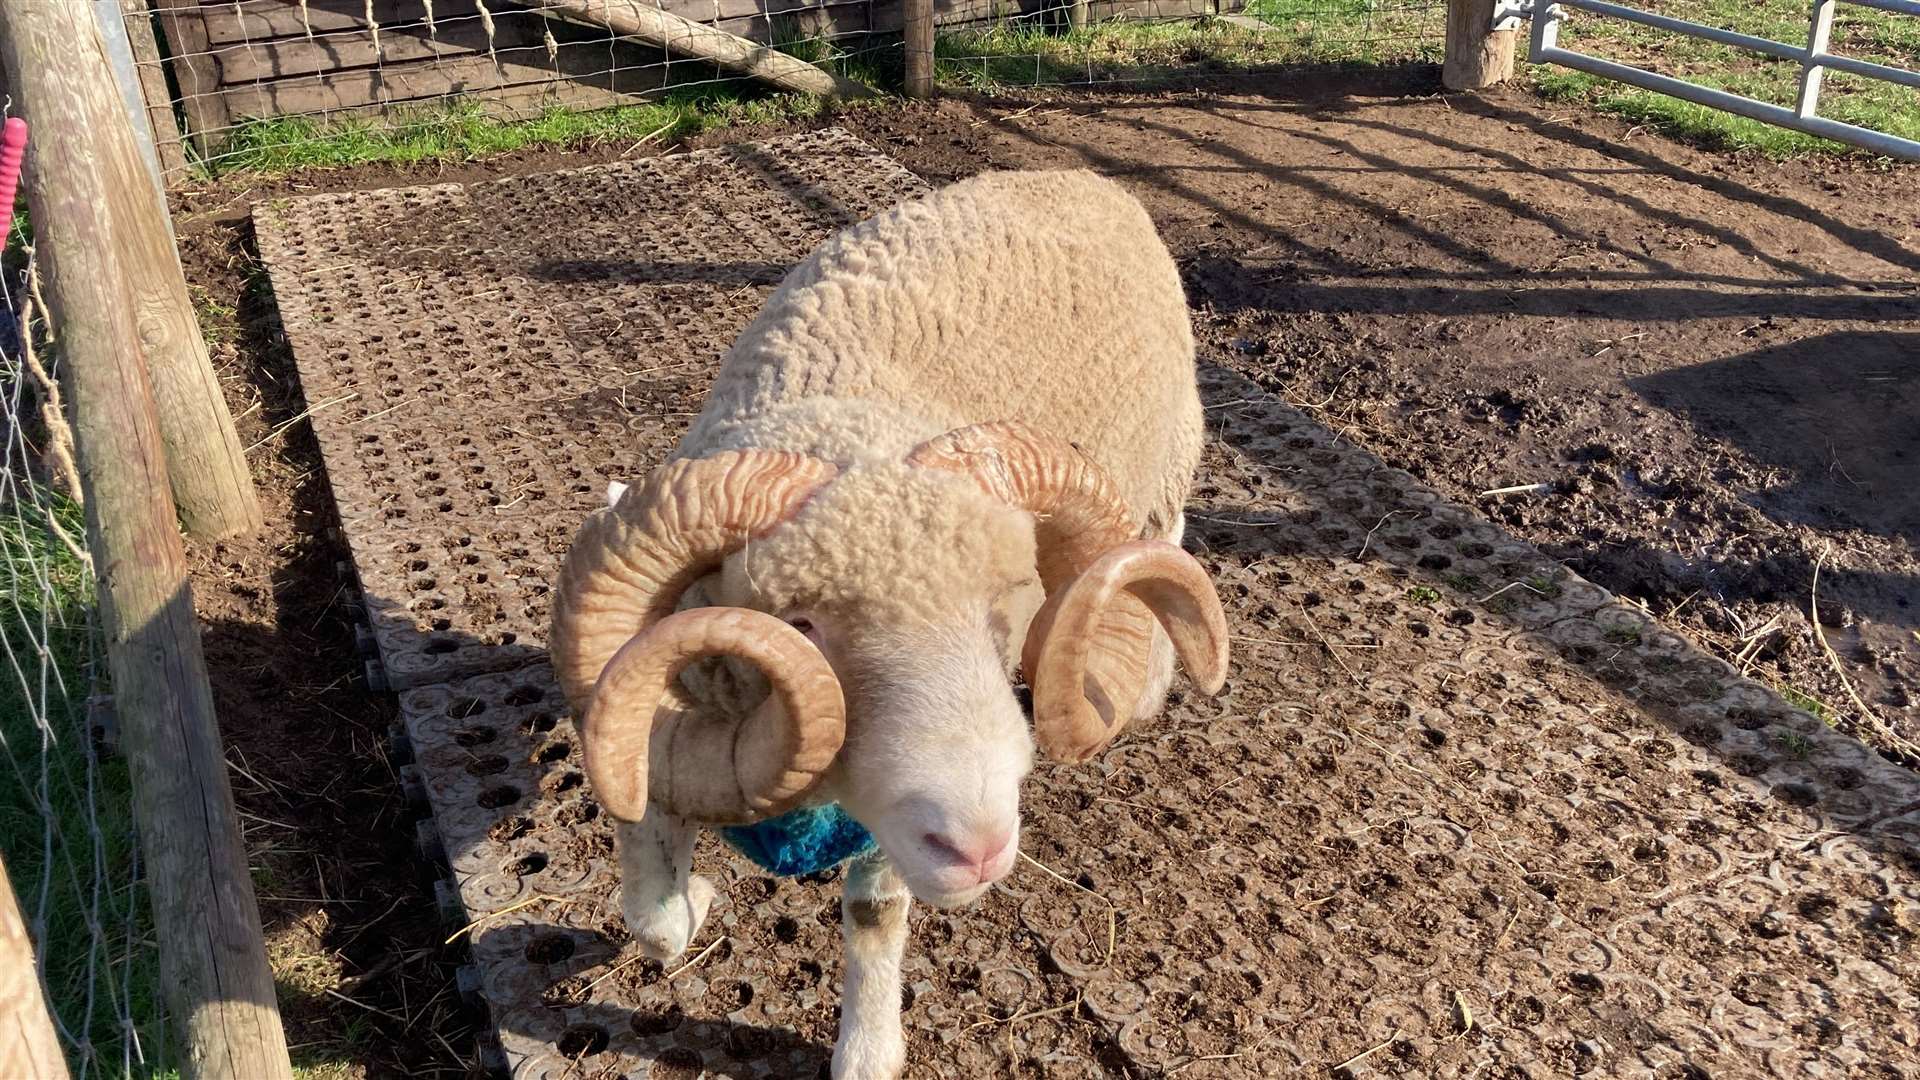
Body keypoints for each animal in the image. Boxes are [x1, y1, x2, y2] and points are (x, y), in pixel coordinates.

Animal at [549, 168, 1228, 1076]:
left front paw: (867, 1049)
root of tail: (1080, 176)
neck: (845, 402)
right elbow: (651, 909)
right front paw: (689, 898)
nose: (979, 846)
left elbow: (874, 918)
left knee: (1161, 543)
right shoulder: (648, 706)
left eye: (1006, 614)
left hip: (1163, 465)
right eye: (799, 625)